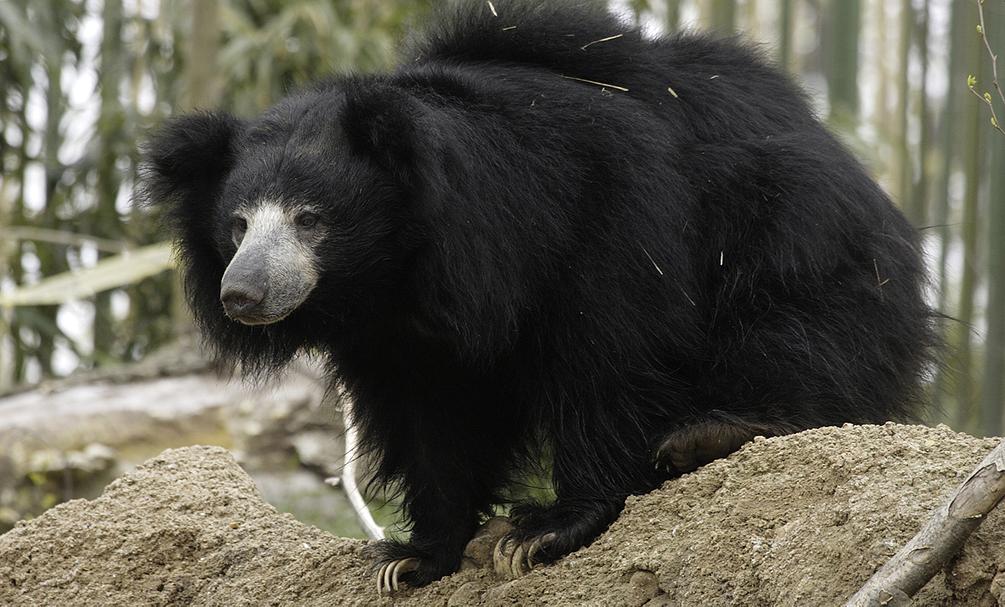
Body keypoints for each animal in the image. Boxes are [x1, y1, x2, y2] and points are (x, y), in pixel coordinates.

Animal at [141, 0, 935, 593]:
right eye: (237, 224)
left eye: (311, 218)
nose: (242, 293)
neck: (406, 268)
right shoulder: (401, 334)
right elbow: (431, 419)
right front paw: (414, 557)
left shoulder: (603, 213)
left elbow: (607, 353)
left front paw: (543, 532)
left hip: (795, 229)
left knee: (799, 331)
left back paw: (717, 431)